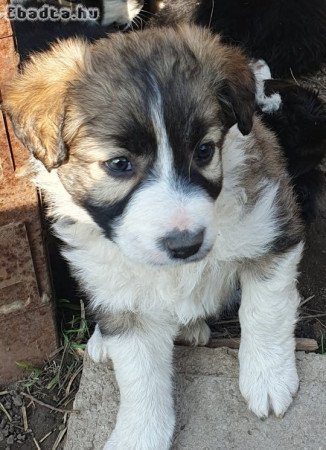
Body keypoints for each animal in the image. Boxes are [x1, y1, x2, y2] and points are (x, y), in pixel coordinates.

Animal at [3, 25, 304, 450]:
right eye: (119, 164)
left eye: (205, 150)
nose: (185, 244)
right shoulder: (126, 304)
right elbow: (140, 376)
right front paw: (138, 434)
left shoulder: (272, 232)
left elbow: (264, 311)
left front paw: (268, 377)